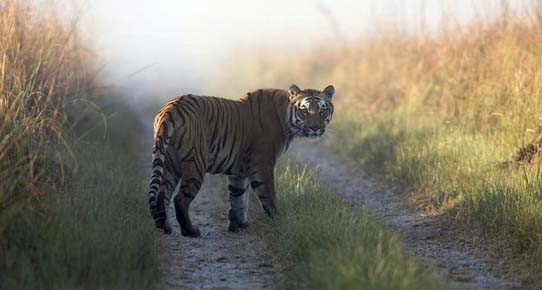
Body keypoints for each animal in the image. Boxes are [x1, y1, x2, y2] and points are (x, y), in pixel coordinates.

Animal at [149, 83, 336, 236]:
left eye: (322, 110)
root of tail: (170, 110)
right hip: (195, 163)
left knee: (162, 193)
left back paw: (165, 227)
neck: (285, 118)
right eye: (304, 110)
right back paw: (190, 231)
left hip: (170, 163)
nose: (315, 128)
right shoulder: (262, 163)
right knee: (180, 198)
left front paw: (238, 225)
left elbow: (238, 196)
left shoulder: (239, 170)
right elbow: (268, 194)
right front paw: (278, 221)